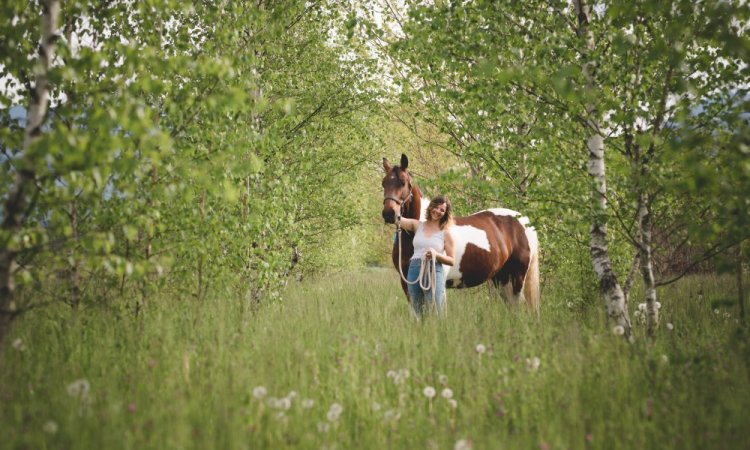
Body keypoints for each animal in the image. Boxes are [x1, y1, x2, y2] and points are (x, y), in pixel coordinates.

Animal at [382, 153, 540, 312]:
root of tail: (523, 220)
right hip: (502, 278)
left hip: (517, 278)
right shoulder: (407, 282)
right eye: (384, 183)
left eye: (403, 183)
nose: (389, 214)